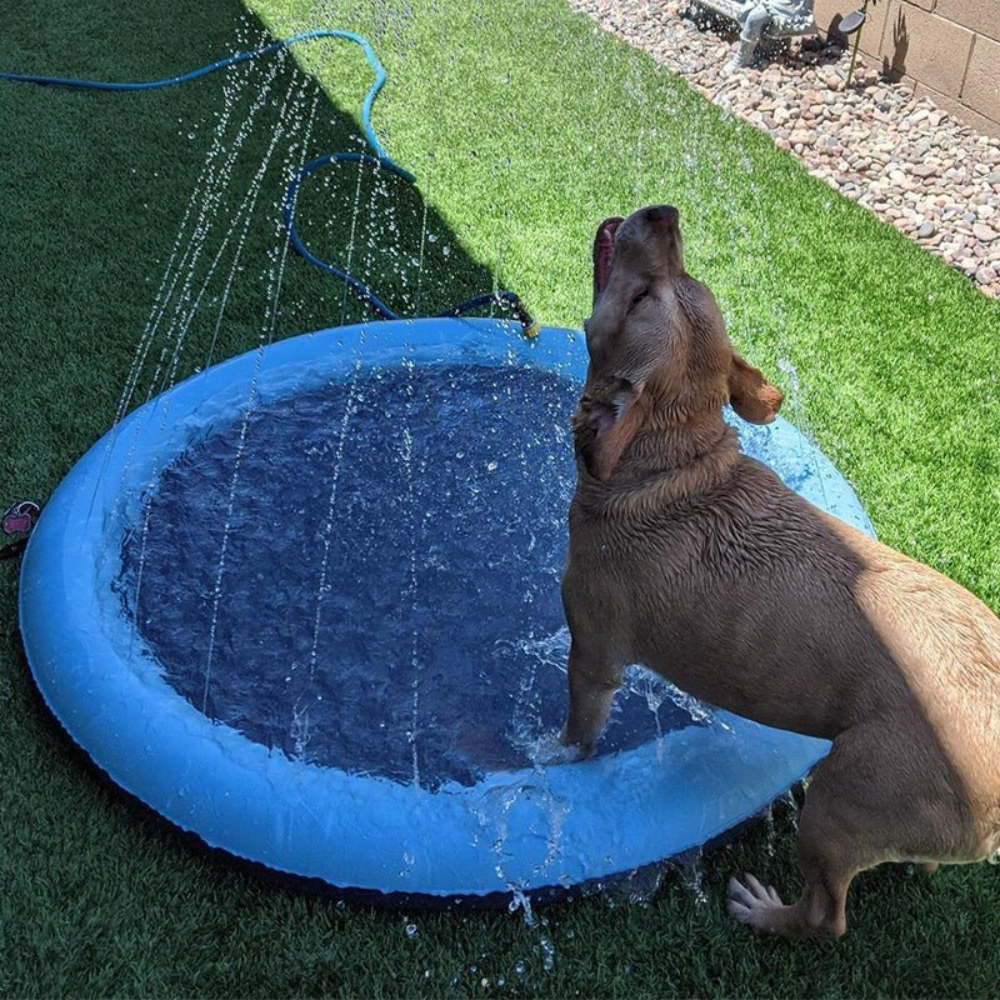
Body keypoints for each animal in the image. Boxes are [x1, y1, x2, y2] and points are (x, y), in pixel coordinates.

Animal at [560, 203, 1000, 936]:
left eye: (642, 297)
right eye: (688, 276)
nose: (664, 214)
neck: (671, 457)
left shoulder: (592, 652)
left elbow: (576, 735)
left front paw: (552, 757)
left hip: (839, 802)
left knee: (827, 915)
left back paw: (766, 913)